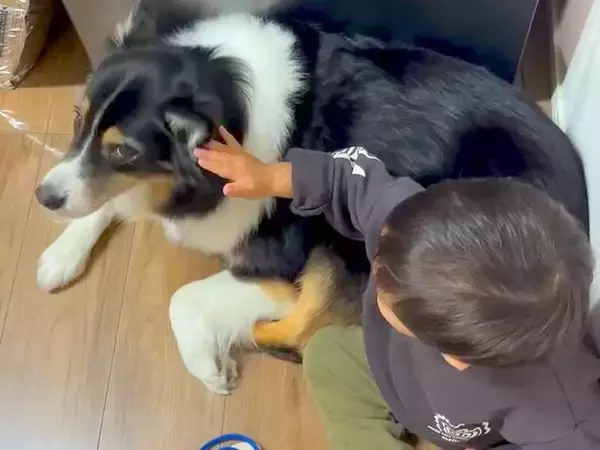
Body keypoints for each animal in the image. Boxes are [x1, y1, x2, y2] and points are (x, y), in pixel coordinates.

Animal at [34, 3, 588, 394]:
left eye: (124, 150)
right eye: (78, 119)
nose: (42, 197)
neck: (226, 90)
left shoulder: (277, 257)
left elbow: (183, 297)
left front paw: (208, 367)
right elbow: (103, 198)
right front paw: (61, 253)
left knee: (303, 327)